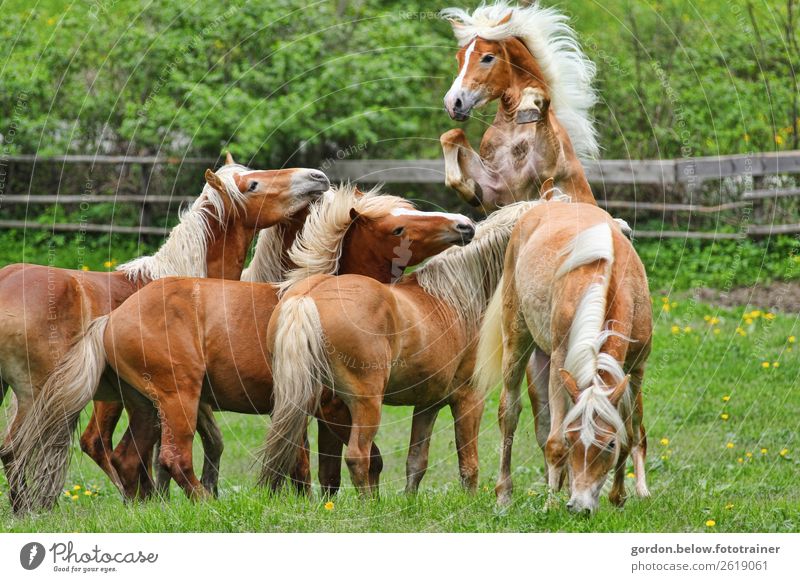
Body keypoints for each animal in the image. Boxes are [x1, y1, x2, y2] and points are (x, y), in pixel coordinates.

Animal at [12, 184, 472, 506]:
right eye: (397, 227)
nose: (464, 225)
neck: (316, 295)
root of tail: (113, 318)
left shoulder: (320, 412)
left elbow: (324, 470)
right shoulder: (328, 408)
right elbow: (328, 463)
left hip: (145, 404)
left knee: (129, 457)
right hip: (177, 397)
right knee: (169, 456)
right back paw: (203, 506)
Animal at [262, 201, 556, 498]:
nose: (465, 226)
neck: (456, 297)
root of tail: (305, 299)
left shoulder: (428, 404)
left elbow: (416, 462)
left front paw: (409, 501)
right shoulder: (469, 399)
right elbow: (469, 465)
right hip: (365, 404)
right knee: (358, 456)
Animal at [438, 1, 600, 212]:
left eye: (488, 57)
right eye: (459, 58)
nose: (453, 103)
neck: (512, 127)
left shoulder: (546, 170)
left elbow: (541, 99)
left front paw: (528, 105)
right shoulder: (495, 192)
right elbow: (450, 136)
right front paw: (472, 189)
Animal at [472, 202, 652, 516]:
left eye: (609, 445)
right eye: (572, 440)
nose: (579, 507)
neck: (610, 279)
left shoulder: (636, 369)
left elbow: (629, 433)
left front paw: (618, 496)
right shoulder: (560, 364)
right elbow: (553, 443)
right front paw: (550, 504)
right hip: (517, 340)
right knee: (511, 414)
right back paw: (504, 494)